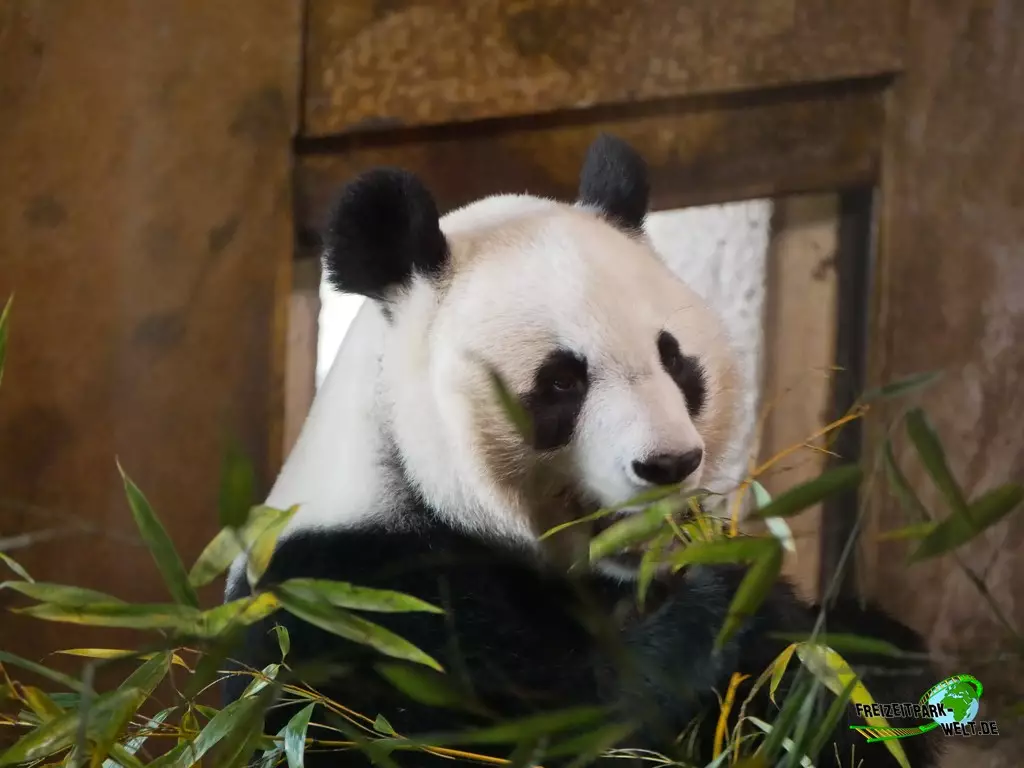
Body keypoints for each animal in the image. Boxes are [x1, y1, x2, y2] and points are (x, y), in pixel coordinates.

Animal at [225, 136, 939, 767]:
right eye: (562, 382)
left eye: (674, 360)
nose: (667, 464)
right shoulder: (353, 608)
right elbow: (555, 729)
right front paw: (722, 598)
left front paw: (854, 651)